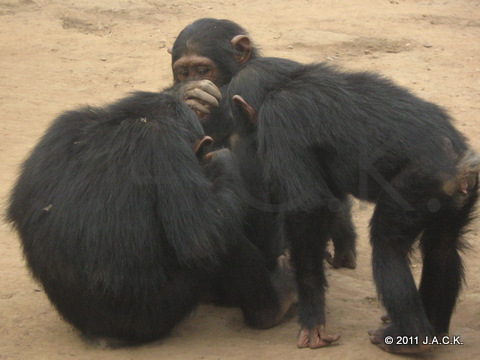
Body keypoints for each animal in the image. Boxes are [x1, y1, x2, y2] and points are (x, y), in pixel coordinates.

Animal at [6, 91, 296, 344]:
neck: (130, 121)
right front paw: (222, 159)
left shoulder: (62, 126)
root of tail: (102, 336)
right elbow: (201, 235)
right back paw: (272, 308)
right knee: (223, 243)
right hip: (157, 315)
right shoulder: (167, 145)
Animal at [227, 57, 478, 352]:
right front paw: (342, 251)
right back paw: (435, 326)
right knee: (442, 247)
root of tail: (461, 163)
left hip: (419, 182)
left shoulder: (279, 121)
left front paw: (313, 319)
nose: (239, 132)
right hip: (459, 197)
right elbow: (329, 197)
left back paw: (412, 338)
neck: (283, 84)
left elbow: (307, 208)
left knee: (387, 244)